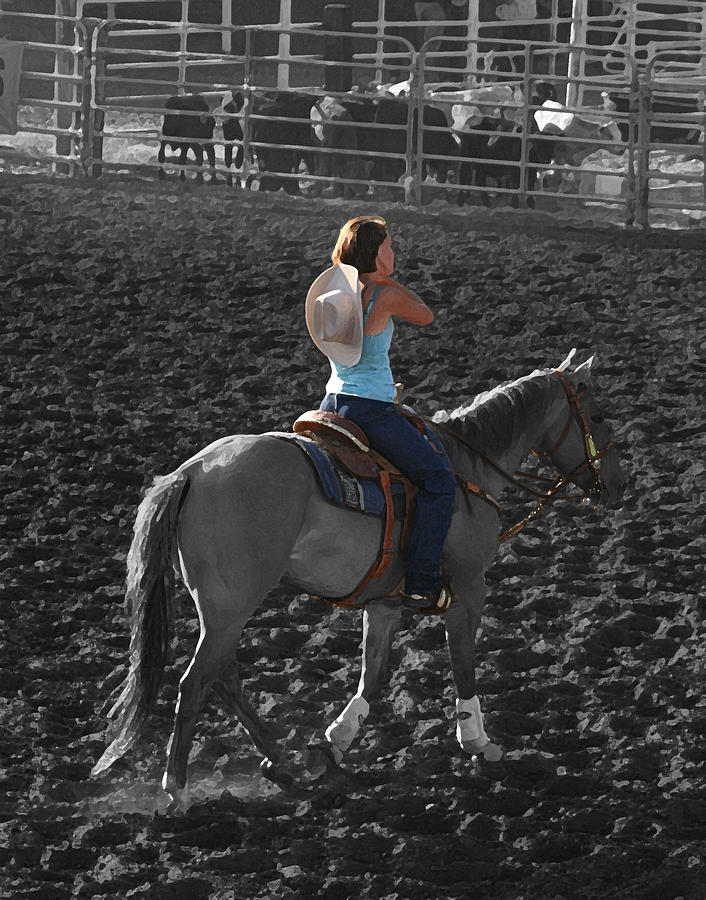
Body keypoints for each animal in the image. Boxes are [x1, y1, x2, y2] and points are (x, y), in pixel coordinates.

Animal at [92, 352, 620, 808]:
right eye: (598, 414)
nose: (615, 485)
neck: (465, 468)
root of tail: (191, 472)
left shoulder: (384, 602)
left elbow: (374, 674)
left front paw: (334, 744)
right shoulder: (469, 587)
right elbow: (463, 664)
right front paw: (477, 741)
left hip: (223, 609)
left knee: (223, 676)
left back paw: (280, 760)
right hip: (232, 607)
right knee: (197, 682)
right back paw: (176, 789)